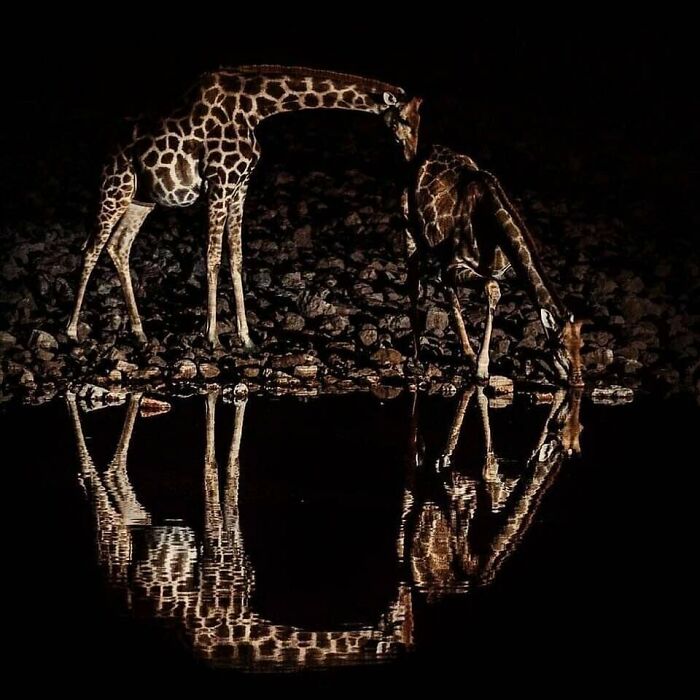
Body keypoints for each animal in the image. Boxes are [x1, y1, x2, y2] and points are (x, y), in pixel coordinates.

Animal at [66, 66, 423, 348]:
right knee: (91, 248)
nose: (412, 155)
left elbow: (236, 259)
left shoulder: (239, 188)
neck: (255, 109)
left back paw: (139, 332)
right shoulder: (219, 184)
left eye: (420, 121)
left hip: (142, 199)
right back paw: (71, 331)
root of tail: (106, 147)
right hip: (116, 187)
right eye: (404, 120)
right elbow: (212, 259)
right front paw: (212, 336)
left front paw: (246, 337)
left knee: (118, 246)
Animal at [67, 388, 412, 670]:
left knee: (115, 471)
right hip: (121, 537)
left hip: (139, 518)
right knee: (97, 480)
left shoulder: (228, 545)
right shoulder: (218, 546)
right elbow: (214, 466)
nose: (404, 591)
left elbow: (230, 466)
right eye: (402, 622)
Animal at [405, 144, 585, 386]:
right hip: (410, 230)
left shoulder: (505, 270)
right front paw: (482, 370)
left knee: (447, 293)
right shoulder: (455, 264)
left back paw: (467, 354)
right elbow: (493, 288)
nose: (578, 381)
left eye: (581, 346)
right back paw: (417, 357)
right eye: (562, 346)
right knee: (414, 286)